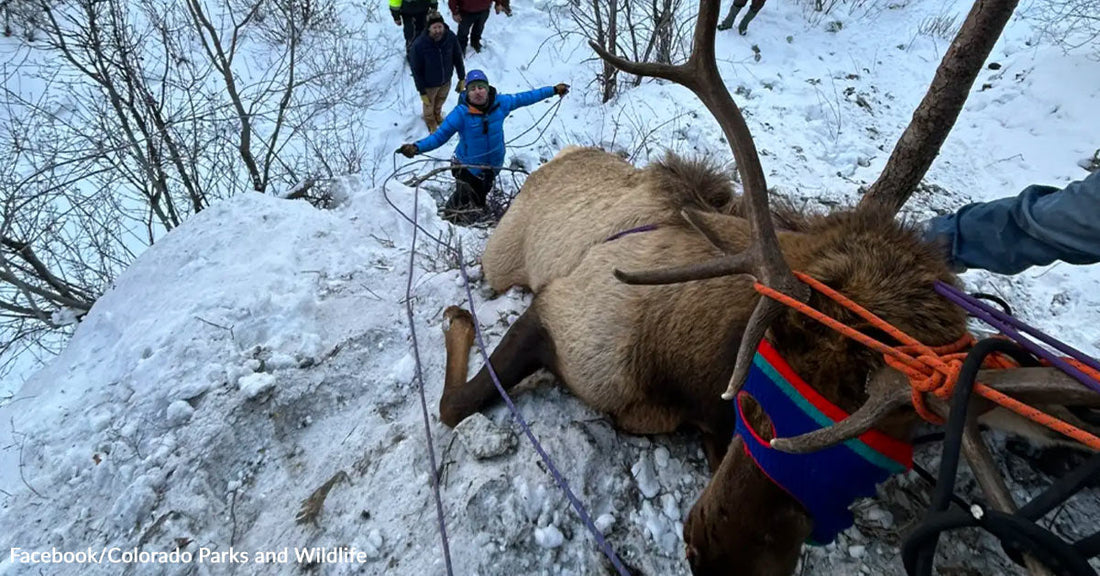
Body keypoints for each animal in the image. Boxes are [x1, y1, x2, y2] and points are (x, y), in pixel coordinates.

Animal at [438, 0, 1100, 574]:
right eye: (756, 384)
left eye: (889, 448)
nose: (720, 558)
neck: (679, 365)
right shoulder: (560, 316)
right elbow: (454, 405)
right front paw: (458, 320)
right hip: (500, 259)